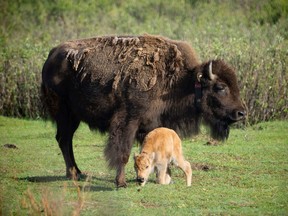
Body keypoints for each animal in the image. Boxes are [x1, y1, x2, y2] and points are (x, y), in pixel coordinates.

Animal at [41, 34, 245, 186]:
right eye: (220, 87)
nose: (241, 113)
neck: (179, 82)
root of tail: (51, 55)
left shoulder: (153, 124)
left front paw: (164, 177)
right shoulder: (128, 121)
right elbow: (123, 151)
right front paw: (121, 182)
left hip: (73, 117)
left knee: (65, 140)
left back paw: (78, 172)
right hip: (64, 114)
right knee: (64, 140)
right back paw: (73, 174)